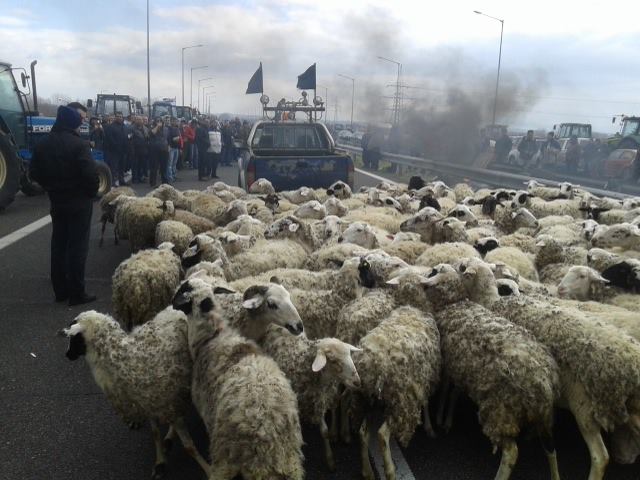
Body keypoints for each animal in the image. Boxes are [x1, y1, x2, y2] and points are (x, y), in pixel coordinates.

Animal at [60, 310, 210, 478]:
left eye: (75, 338)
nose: (68, 355)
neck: (128, 360)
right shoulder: (149, 406)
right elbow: (155, 434)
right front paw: (160, 462)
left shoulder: (168, 404)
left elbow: (189, 447)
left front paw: (209, 470)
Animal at [260, 328, 360, 470]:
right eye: (333, 361)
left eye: (350, 355)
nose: (357, 382)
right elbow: (323, 432)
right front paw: (330, 460)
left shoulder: (320, 400)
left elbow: (326, 429)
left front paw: (330, 457)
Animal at [350, 308, 440, 480]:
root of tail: (374, 366)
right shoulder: (422, 381)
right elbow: (425, 402)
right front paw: (429, 427)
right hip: (399, 401)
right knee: (382, 434)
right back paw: (390, 471)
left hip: (367, 401)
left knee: (363, 433)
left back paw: (367, 472)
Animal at [422, 264, 564, 480]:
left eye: (433, 271)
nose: (423, 276)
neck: (453, 305)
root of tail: (544, 382)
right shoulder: (462, 367)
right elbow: (454, 393)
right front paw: (447, 421)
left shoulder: (448, 363)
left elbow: (446, 390)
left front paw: (439, 418)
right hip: (544, 417)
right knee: (550, 447)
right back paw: (555, 475)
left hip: (501, 411)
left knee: (511, 452)